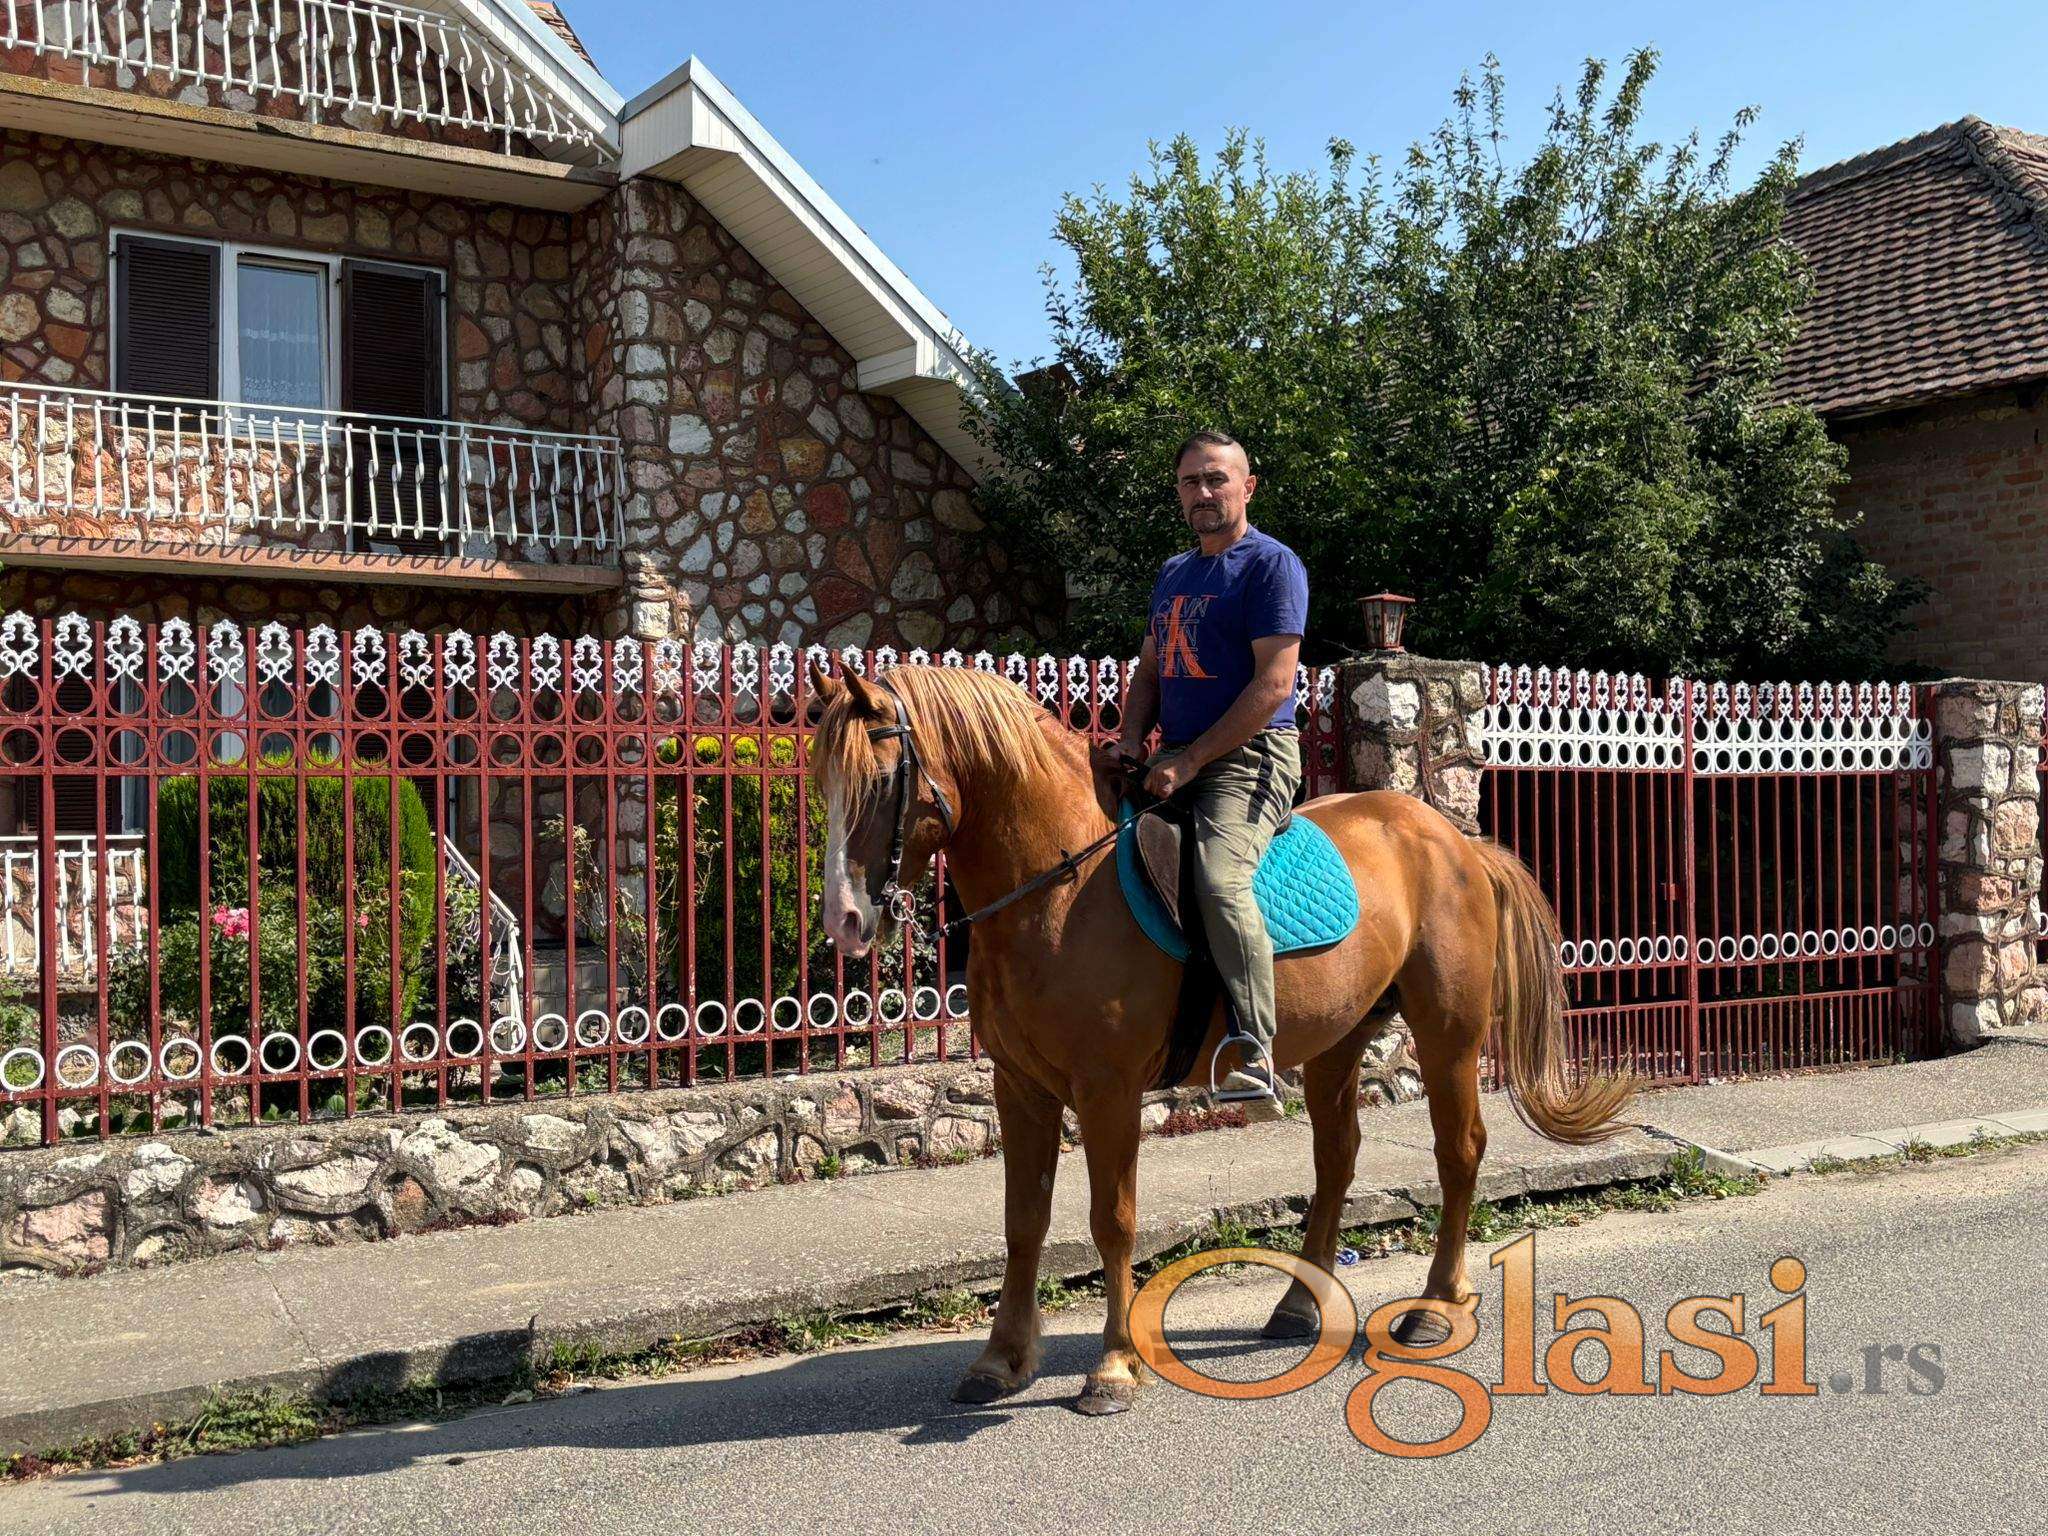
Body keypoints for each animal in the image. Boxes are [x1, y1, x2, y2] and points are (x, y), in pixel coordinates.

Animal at [807, 659, 1631, 1415]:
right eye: (821, 781)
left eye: (880, 781)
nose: (843, 923)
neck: (1056, 885)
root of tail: (1454, 842)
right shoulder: (1020, 1088)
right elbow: (1022, 1222)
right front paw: (1002, 1360)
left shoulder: (1107, 1092)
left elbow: (1112, 1221)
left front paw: (1114, 1365)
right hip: (1338, 1042)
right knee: (1337, 1160)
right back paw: (1301, 1305)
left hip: (1447, 1032)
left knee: (1458, 1153)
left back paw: (1435, 1306)